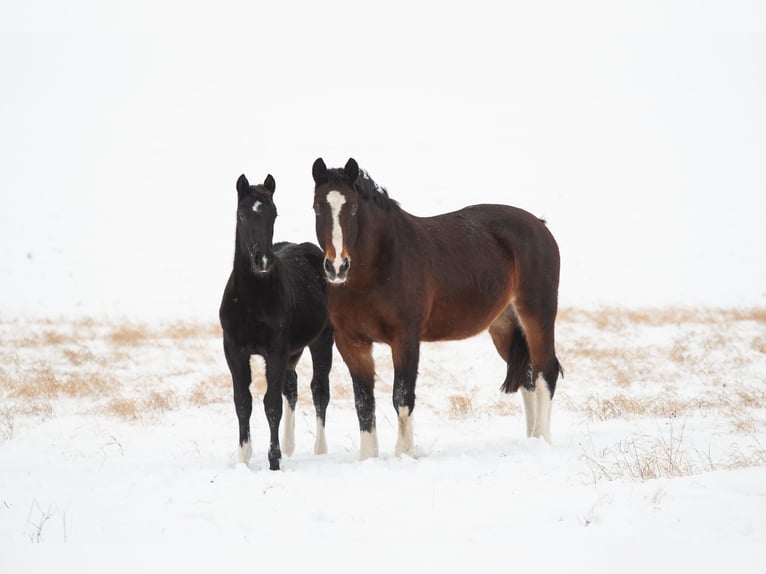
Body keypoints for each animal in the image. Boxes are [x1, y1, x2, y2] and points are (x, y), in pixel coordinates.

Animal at [220, 173, 334, 470]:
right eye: (242, 215)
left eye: (273, 214)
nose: (262, 261)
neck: (251, 299)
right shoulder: (234, 350)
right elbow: (242, 401)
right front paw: (244, 457)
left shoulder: (276, 350)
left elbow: (271, 404)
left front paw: (274, 460)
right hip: (293, 351)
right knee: (291, 388)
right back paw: (290, 445)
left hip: (322, 341)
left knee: (319, 390)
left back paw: (320, 448)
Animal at [311, 157, 562, 460]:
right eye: (316, 206)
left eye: (353, 207)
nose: (337, 267)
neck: (379, 264)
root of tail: (539, 225)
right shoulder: (352, 343)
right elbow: (363, 402)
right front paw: (368, 458)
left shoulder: (405, 339)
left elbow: (402, 397)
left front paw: (403, 454)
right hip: (505, 326)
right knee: (527, 379)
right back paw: (531, 440)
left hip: (537, 315)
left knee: (545, 373)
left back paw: (543, 440)